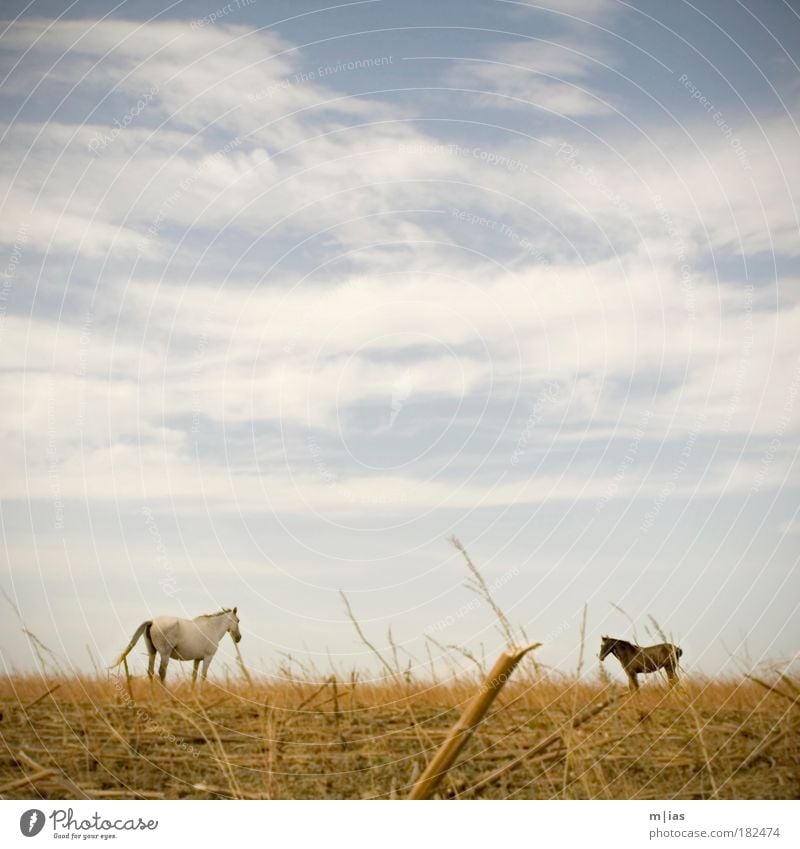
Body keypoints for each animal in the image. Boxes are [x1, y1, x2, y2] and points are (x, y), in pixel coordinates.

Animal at [111, 608, 241, 684]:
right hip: (165, 654)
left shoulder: (197, 659)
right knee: (161, 672)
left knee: (150, 672)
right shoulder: (208, 657)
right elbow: (203, 676)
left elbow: (194, 677)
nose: (239, 637)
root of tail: (153, 621)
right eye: (238, 620)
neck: (212, 628)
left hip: (152, 652)